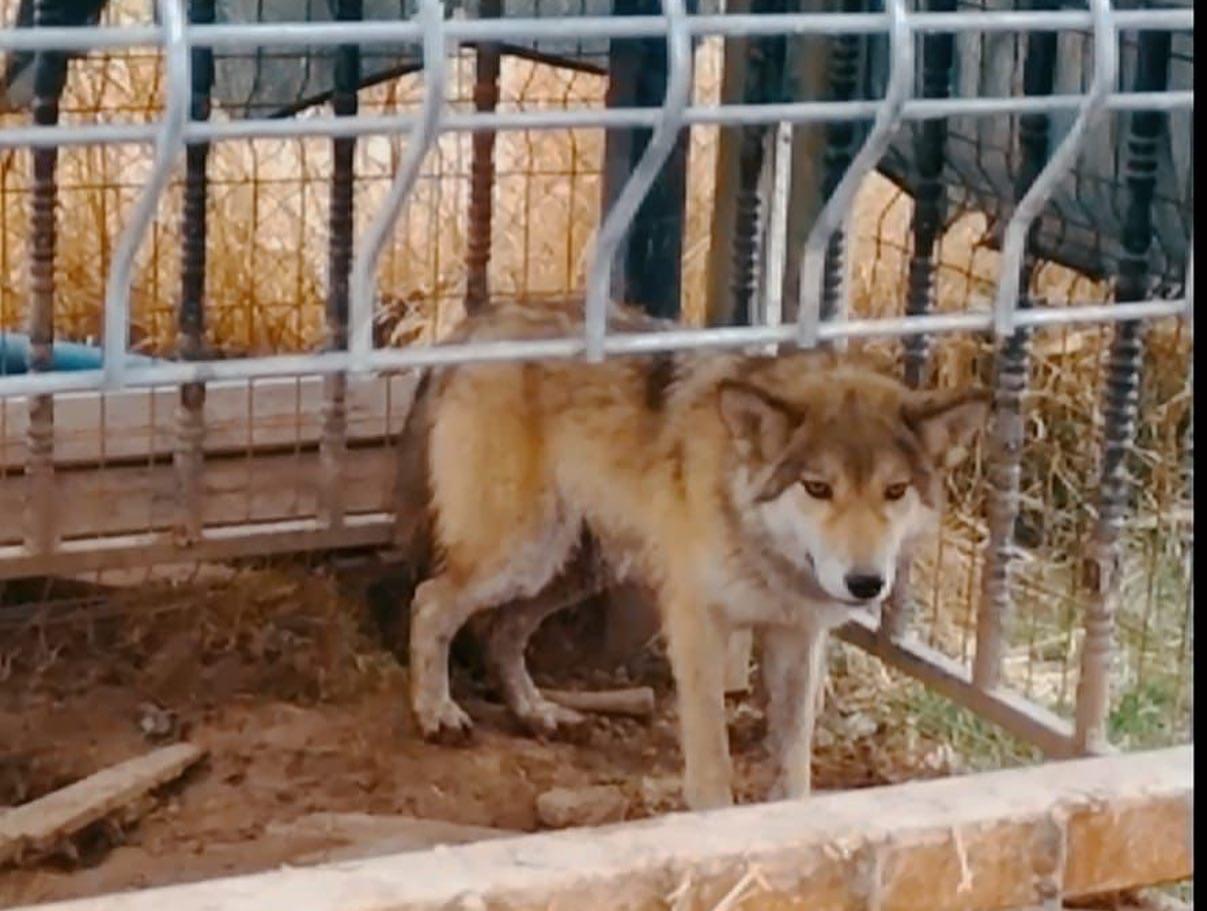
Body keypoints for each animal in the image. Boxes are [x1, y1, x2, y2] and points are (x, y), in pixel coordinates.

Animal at [395, 295, 989, 810]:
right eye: (818, 488)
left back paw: (537, 712)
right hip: (524, 555)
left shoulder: (799, 636)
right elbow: (711, 752)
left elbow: (793, 752)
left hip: (577, 568)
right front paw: (713, 819)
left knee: (502, 632)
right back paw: (437, 713)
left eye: (895, 491)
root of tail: (483, 321)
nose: (865, 583)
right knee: (430, 601)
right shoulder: (696, 622)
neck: (765, 549)